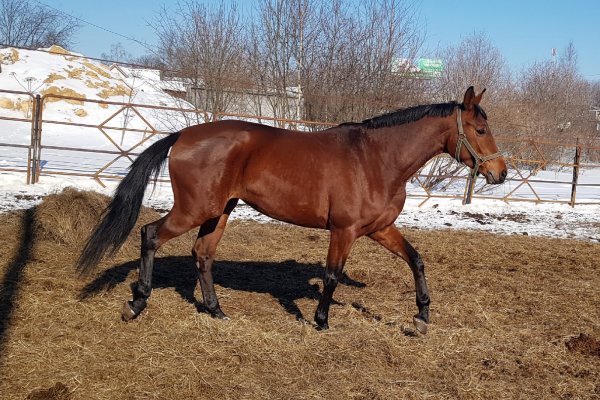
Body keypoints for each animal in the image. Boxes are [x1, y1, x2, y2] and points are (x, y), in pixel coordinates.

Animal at [76, 86, 506, 332]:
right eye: (480, 130)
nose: (500, 173)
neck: (375, 159)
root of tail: (183, 134)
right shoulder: (344, 231)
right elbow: (332, 276)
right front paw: (321, 322)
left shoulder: (378, 229)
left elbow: (416, 260)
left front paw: (421, 318)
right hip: (195, 210)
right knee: (150, 234)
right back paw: (136, 304)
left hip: (220, 211)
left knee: (202, 254)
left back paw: (217, 312)